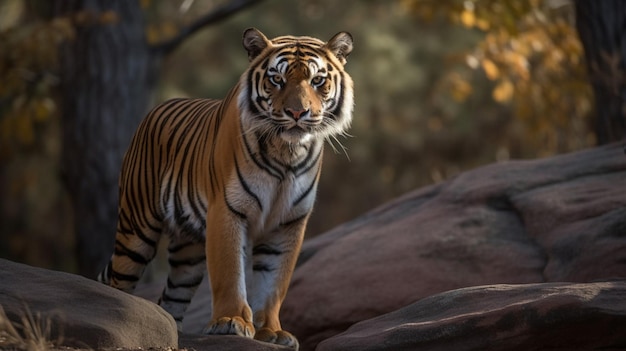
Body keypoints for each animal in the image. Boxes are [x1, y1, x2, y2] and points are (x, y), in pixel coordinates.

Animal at [95, 28, 354, 350]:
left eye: (318, 80)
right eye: (277, 79)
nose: (297, 113)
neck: (287, 153)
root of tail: (156, 108)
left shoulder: (288, 223)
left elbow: (274, 282)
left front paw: (271, 331)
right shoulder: (228, 210)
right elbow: (230, 272)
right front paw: (231, 322)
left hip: (189, 253)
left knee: (172, 298)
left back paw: (173, 331)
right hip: (137, 229)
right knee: (120, 281)